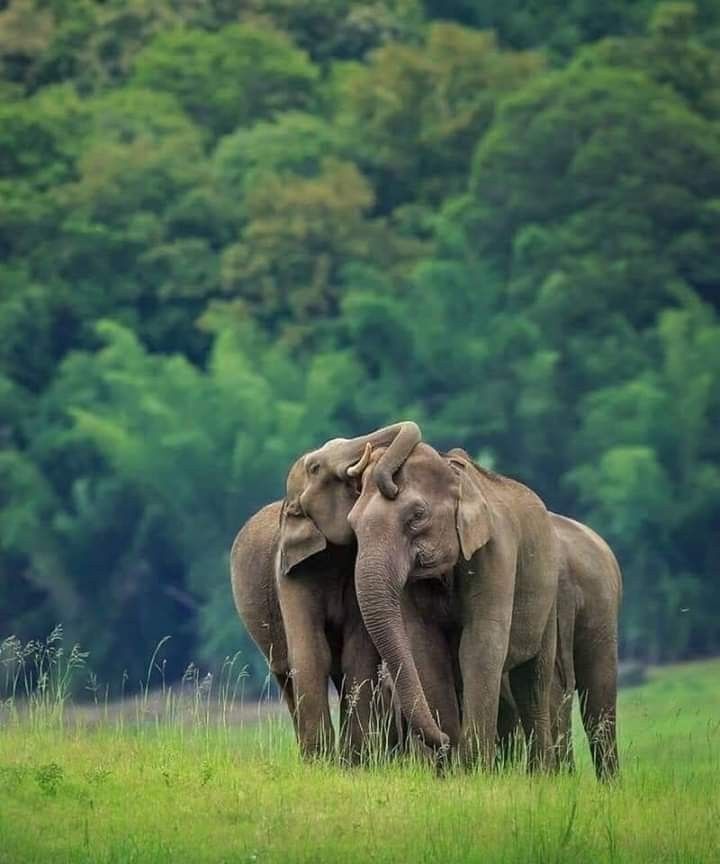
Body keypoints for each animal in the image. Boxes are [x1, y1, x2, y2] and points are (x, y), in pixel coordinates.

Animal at [230, 422, 421, 761]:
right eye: (315, 468)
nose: (390, 486)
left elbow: (357, 653)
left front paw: (355, 761)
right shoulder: (290, 572)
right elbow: (310, 652)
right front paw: (321, 762)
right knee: (285, 672)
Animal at [348, 443, 560, 770]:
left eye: (417, 515)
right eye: (352, 525)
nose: (445, 741)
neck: (455, 475)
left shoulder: (496, 552)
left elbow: (480, 643)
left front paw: (475, 770)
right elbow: (425, 648)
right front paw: (450, 770)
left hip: (548, 598)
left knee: (533, 682)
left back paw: (541, 774)